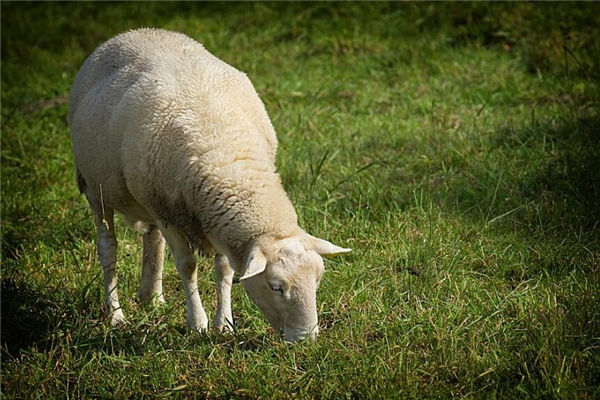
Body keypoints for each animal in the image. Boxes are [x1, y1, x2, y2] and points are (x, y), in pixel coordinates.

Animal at [69, 28, 352, 342]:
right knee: (108, 247)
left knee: (152, 240)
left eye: (318, 279)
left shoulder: (214, 220)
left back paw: (151, 297)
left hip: (146, 197)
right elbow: (187, 266)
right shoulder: (169, 216)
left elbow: (225, 269)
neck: (228, 158)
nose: (307, 339)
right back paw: (116, 315)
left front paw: (224, 323)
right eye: (276, 287)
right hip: (95, 187)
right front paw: (198, 323)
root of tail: (133, 33)